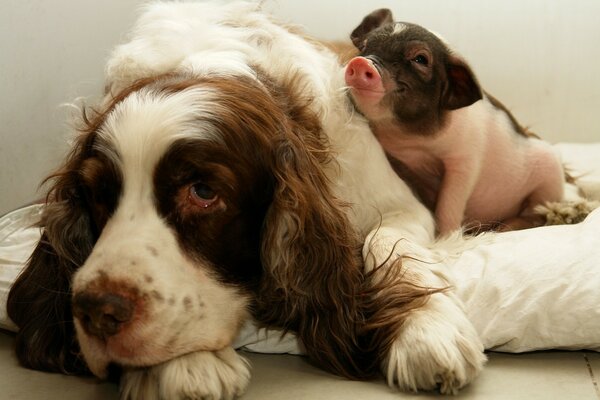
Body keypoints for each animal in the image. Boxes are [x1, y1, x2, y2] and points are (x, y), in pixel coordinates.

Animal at [7, 1, 486, 398]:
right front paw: (186, 364)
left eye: (203, 193)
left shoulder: (399, 205)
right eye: (98, 194)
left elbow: (391, 244)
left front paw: (428, 332)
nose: (94, 312)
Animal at [344, 8, 564, 234]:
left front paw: (446, 236)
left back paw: (504, 228)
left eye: (420, 59)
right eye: (365, 46)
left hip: (550, 177)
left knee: (537, 215)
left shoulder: (466, 157)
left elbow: (450, 201)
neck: (410, 141)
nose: (362, 62)